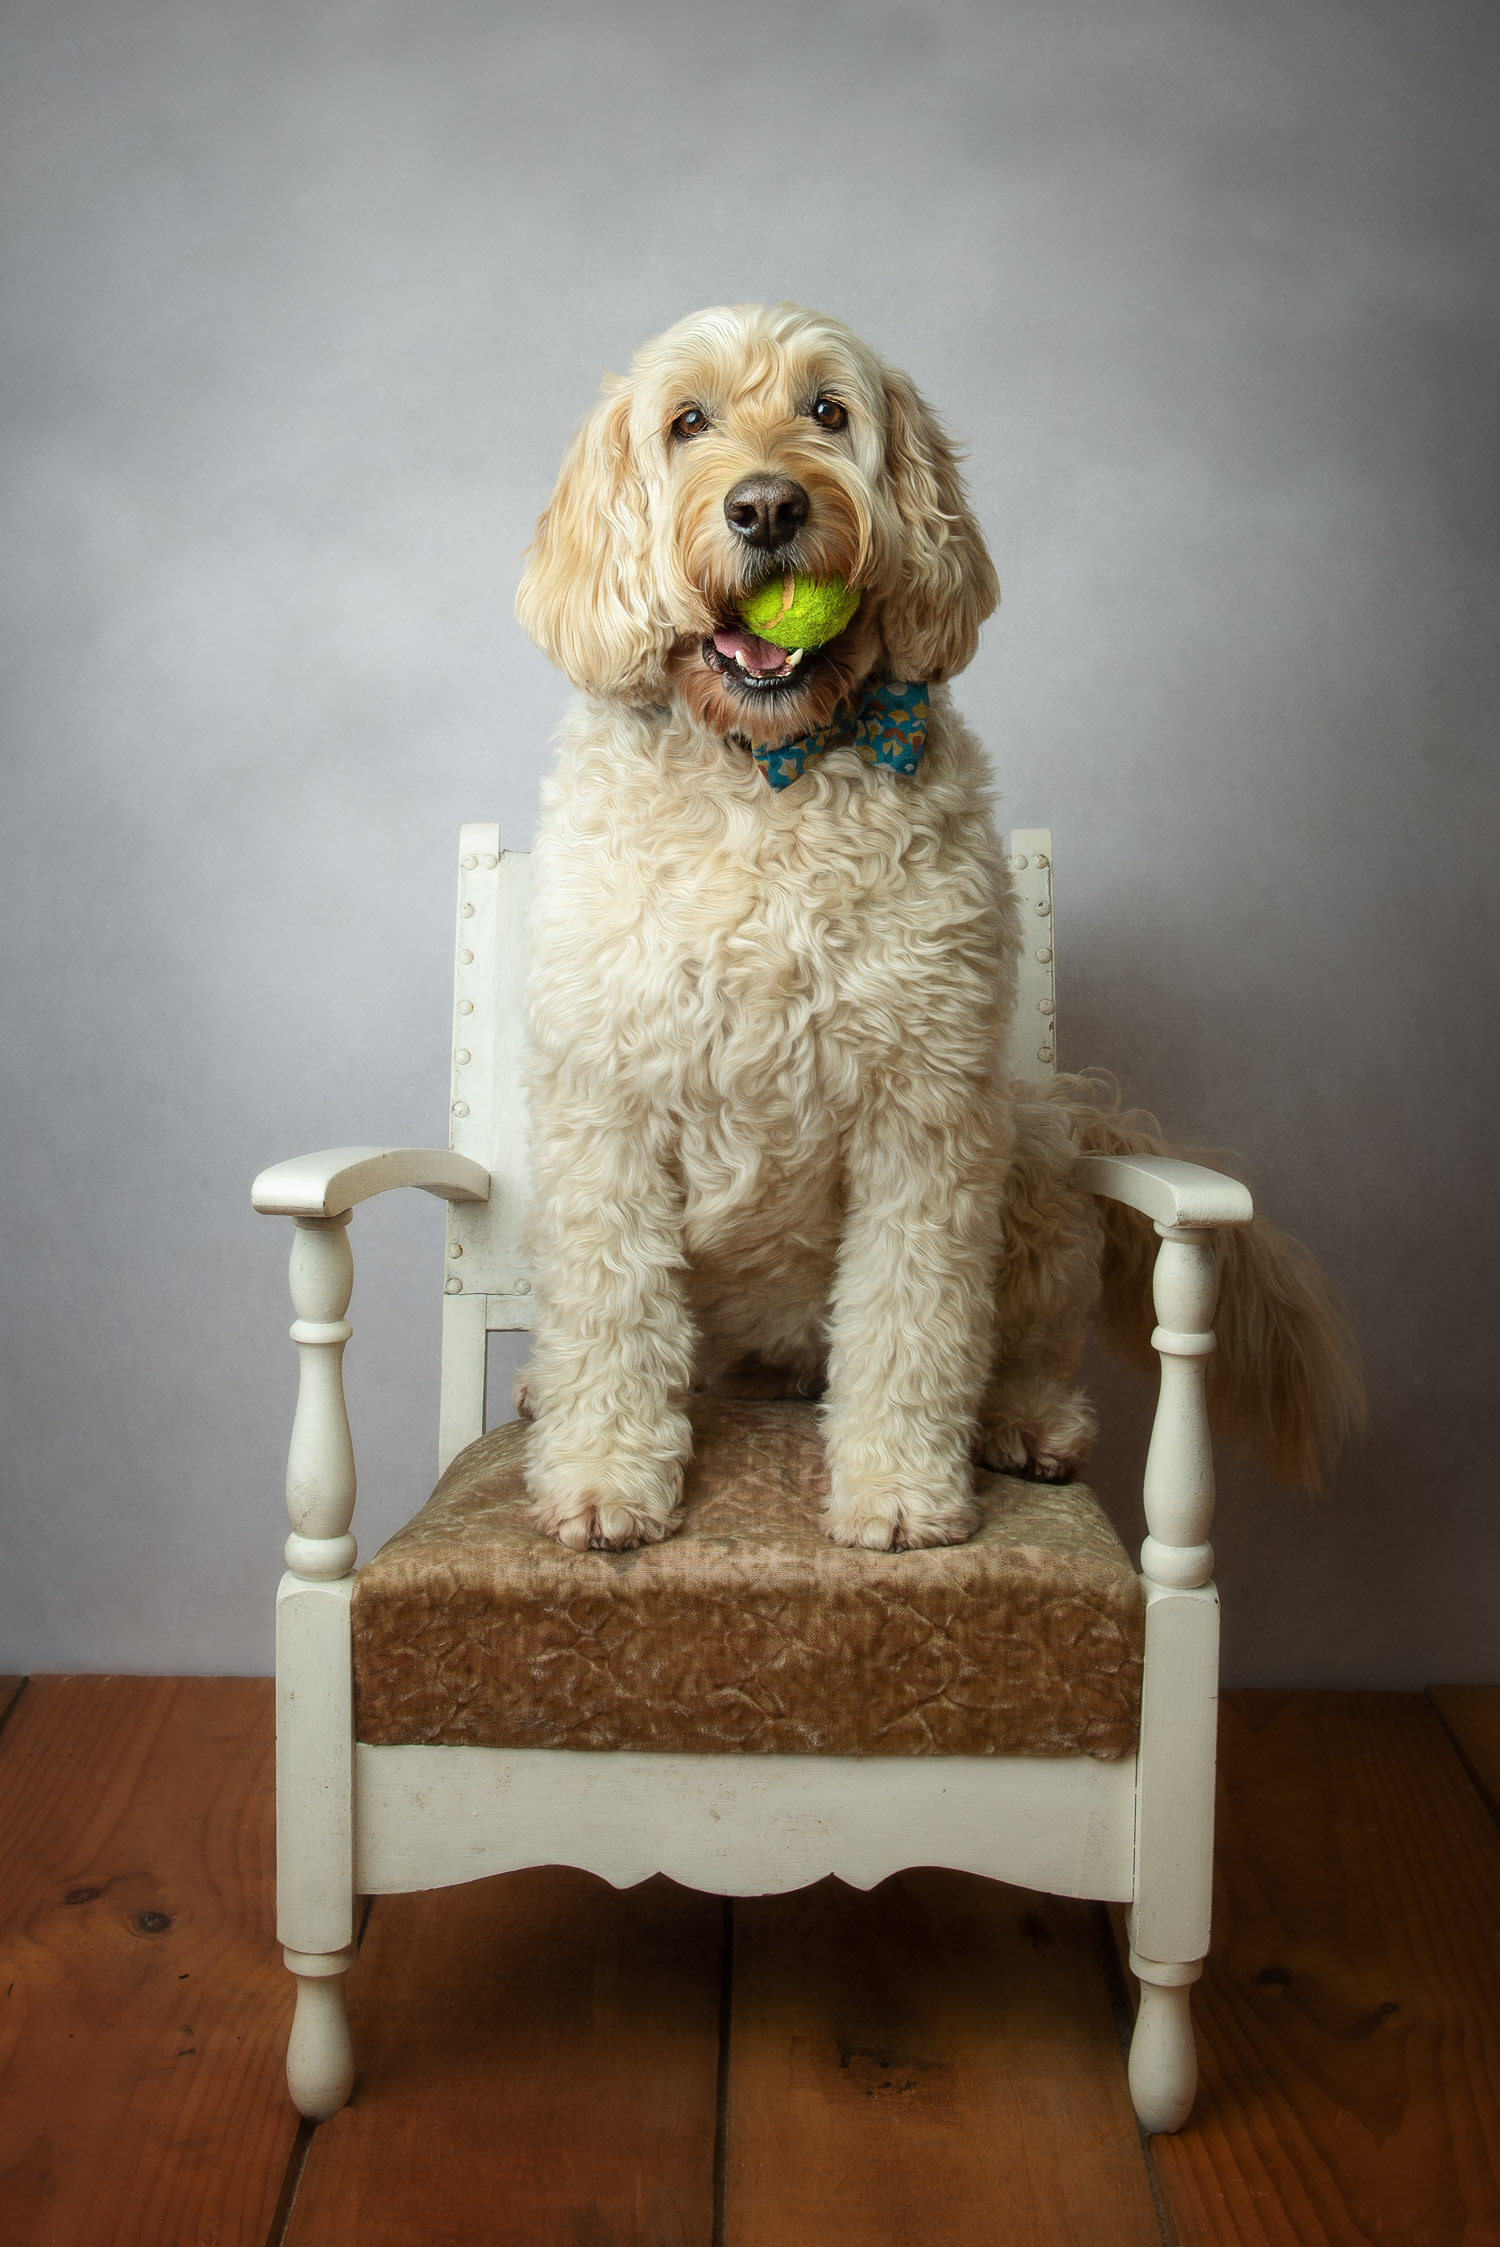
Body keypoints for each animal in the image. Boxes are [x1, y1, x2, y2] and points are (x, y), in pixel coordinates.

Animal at [509, 307, 1365, 1554]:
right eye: (687, 422)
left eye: (828, 411)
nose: (768, 507)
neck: (771, 776)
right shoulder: (608, 1102)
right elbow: (613, 1308)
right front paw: (604, 1477)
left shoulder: (924, 1112)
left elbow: (912, 1323)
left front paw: (902, 1494)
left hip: (1036, 1157)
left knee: (1030, 1344)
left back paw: (1026, 1424)